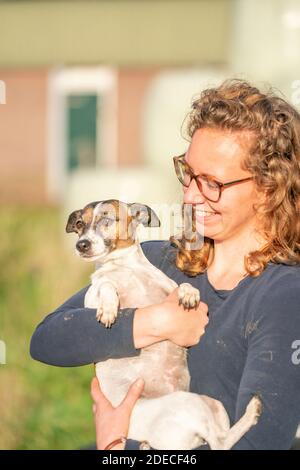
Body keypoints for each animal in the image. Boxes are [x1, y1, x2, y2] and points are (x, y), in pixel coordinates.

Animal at [67, 199, 262, 452]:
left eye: (107, 219)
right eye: (80, 224)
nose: (81, 245)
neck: (125, 267)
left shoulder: (167, 287)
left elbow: (182, 287)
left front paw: (189, 293)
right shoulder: (91, 299)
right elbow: (106, 285)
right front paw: (109, 308)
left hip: (211, 405)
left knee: (221, 440)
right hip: (195, 404)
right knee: (221, 442)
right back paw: (252, 412)